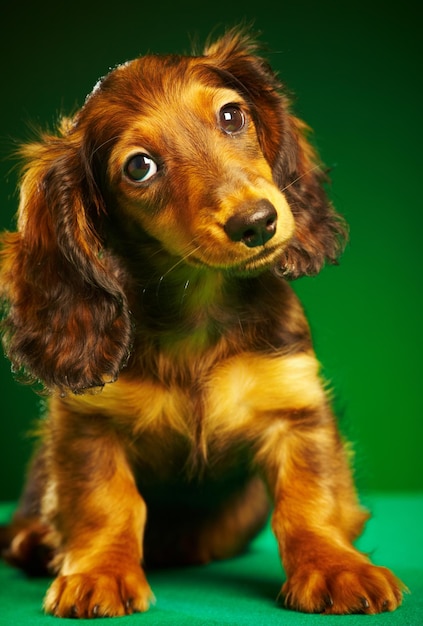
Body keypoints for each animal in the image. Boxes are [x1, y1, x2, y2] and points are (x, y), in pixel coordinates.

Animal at [0, 28, 404, 616]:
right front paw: (99, 573)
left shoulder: (296, 408)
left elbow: (309, 500)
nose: (257, 223)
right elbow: (106, 503)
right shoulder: (87, 427)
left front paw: (334, 566)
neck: (199, 313)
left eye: (232, 116)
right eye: (139, 167)